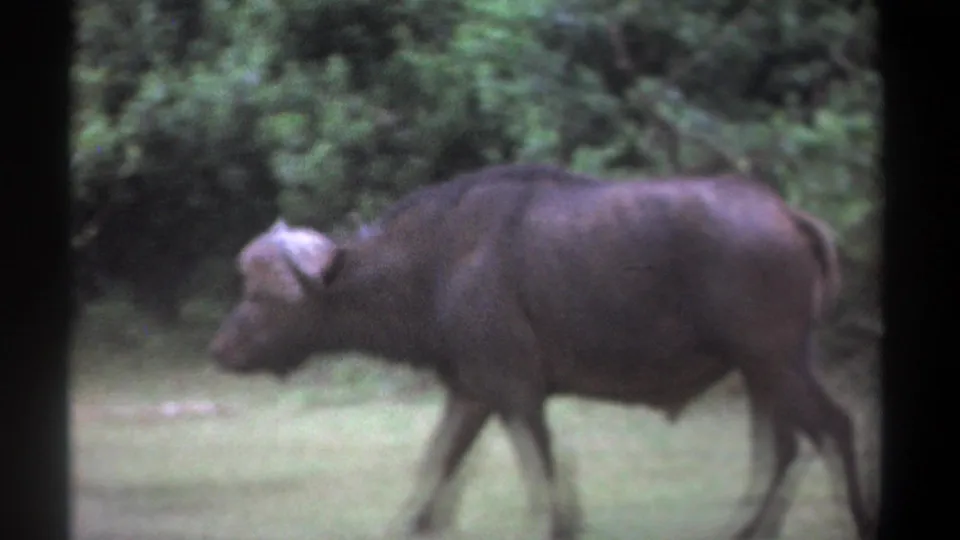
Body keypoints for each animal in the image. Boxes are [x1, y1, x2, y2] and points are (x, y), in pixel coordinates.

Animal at [209, 164, 874, 540]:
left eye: (262, 296)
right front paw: (412, 524)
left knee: (833, 428)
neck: (440, 263)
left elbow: (543, 474)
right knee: (786, 445)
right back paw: (748, 527)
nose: (220, 349)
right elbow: (436, 466)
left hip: (775, 362)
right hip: (767, 371)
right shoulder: (472, 394)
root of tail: (787, 214)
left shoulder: (516, 395)